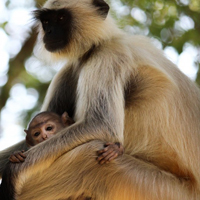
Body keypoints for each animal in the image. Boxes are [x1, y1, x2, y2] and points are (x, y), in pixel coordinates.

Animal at [0, 0, 200, 199]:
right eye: (47, 21)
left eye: (61, 18)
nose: (49, 32)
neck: (97, 44)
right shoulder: (72, 67)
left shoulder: (107, 55)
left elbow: (101, 125)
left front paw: (13, 170)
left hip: (158, 189)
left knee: (88, 155)